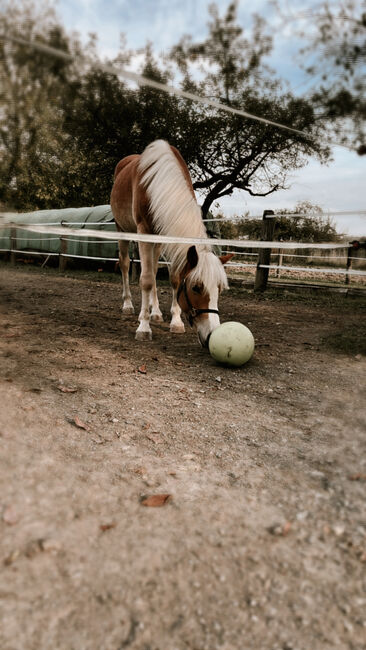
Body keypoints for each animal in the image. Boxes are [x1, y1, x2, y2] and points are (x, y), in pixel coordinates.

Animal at [110, 139, 233, 346]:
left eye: (220, 289)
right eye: (196, 287)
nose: (211, 336)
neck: (161, 181)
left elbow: (174, 278)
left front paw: (175, 321)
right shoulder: (143, 231)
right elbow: (146, 279)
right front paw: (144, 327)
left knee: (152, 268)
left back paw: (155, 312)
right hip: (123, 230)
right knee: (125, 264)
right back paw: (128, 305)